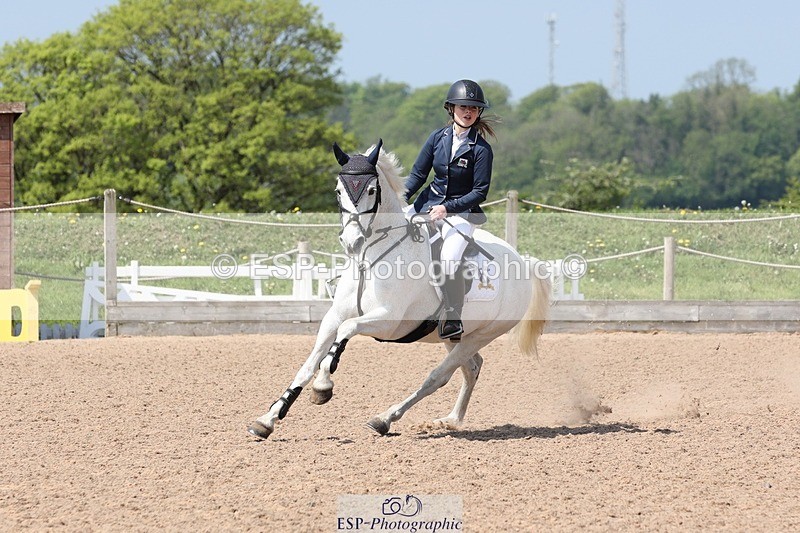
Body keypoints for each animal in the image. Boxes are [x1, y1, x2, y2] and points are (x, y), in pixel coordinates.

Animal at [247, 140, 550, 439]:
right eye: (338, 191)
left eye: (371, 190)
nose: (352, 242)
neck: (371, 257)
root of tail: (523, 262)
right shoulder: (334, 316)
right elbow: (308, 365)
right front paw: (267, 420)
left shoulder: (388, 322)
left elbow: (345, 333)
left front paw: (323, 387)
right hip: (456, 336)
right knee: (471, 368)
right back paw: (451, 419)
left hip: (482, 334)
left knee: (438, 376)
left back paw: (384, 419)